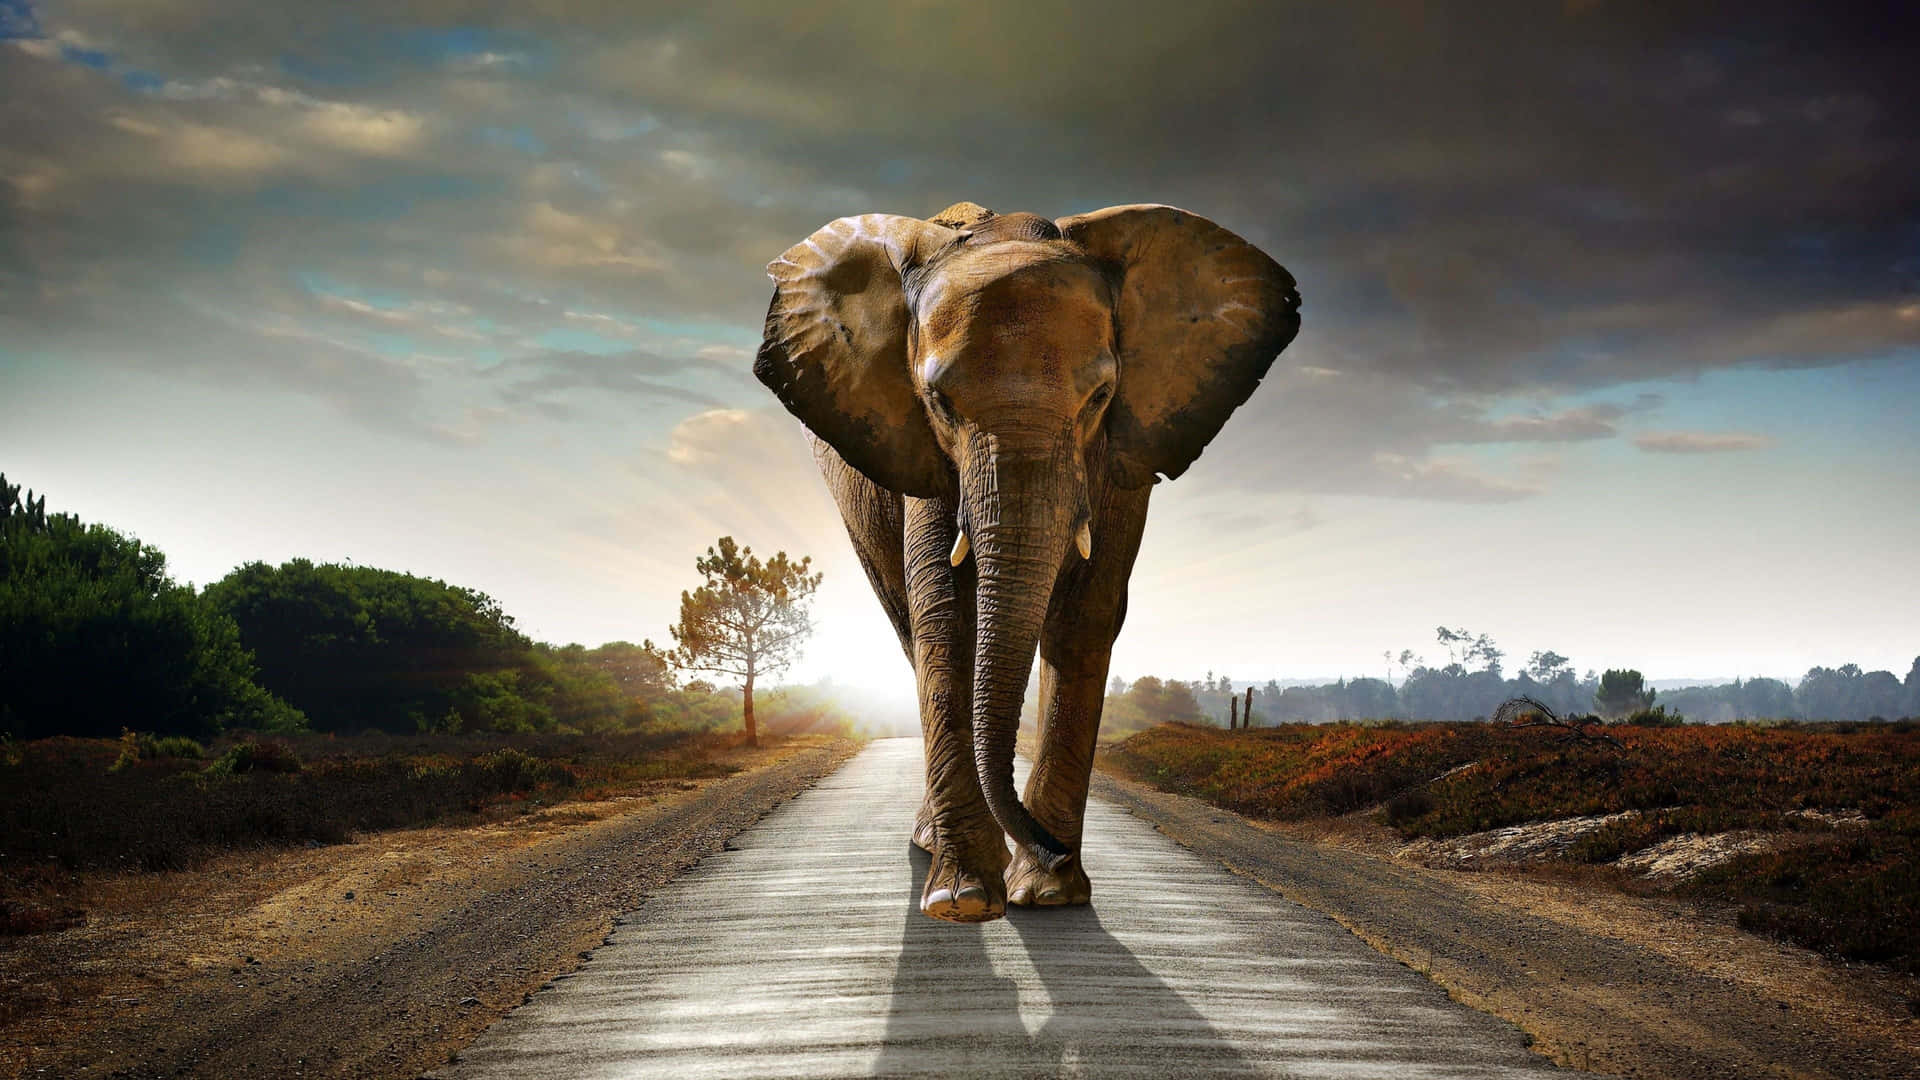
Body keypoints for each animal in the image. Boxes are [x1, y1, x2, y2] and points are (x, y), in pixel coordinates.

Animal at [756, 199, 1297, 914]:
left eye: (1100, 397)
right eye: (938, 402)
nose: (1051, 845)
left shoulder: (1123, 453)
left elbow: (1086, 616)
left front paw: (1047, 892)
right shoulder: (923, 454)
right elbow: (946, 616)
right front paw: (964, 899)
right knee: (908, 627)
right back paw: (934, 848)